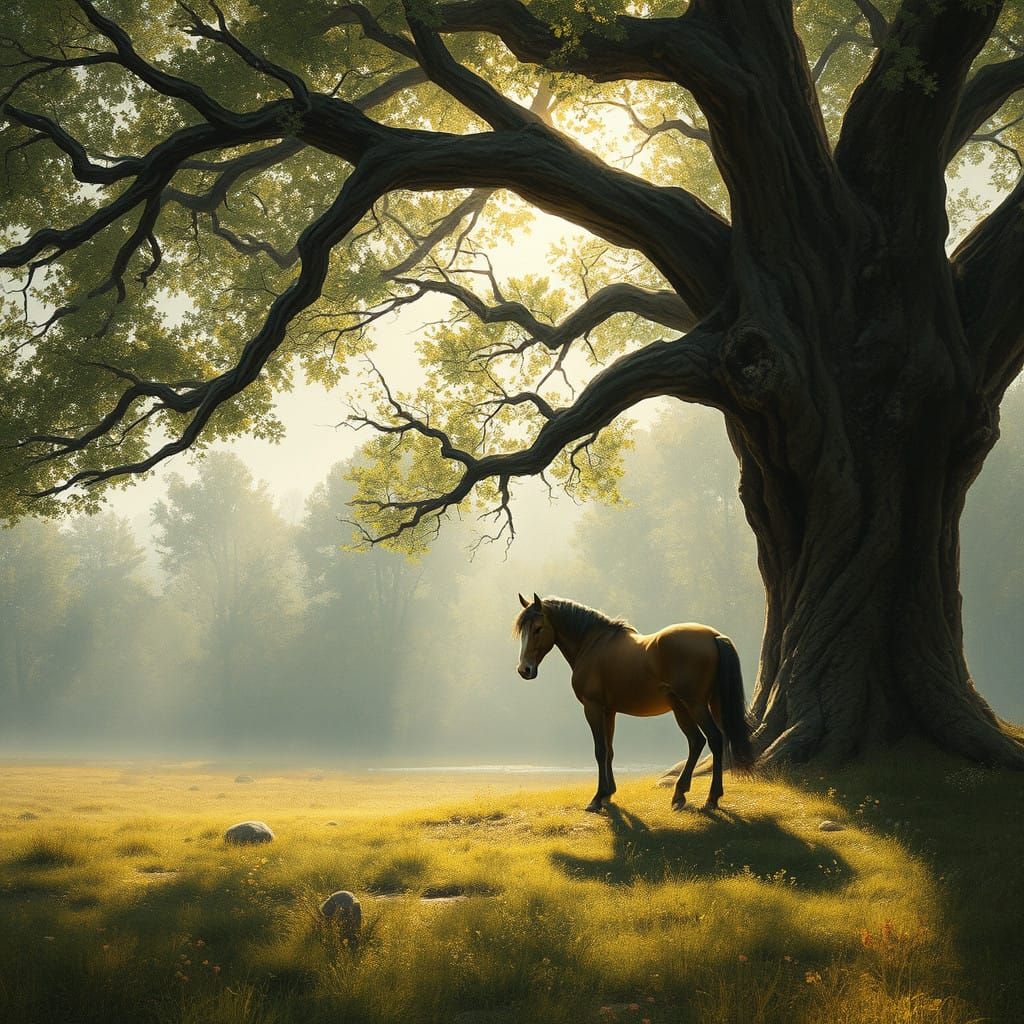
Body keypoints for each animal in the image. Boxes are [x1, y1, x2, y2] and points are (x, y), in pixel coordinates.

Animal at [514, 593, 754, 812]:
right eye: (522, 630)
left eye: (538, 628)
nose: (524, 669)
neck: (592, 644)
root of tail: (714, 636)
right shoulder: (609, 711)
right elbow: (609, 751)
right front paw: (608, 794)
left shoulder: (592, 707)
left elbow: (600, 750)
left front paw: (596, 799)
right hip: (694, 705)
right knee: (698, 741)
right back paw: (681, 795)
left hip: (694, 704)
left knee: (713, 739)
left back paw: (710, 799)